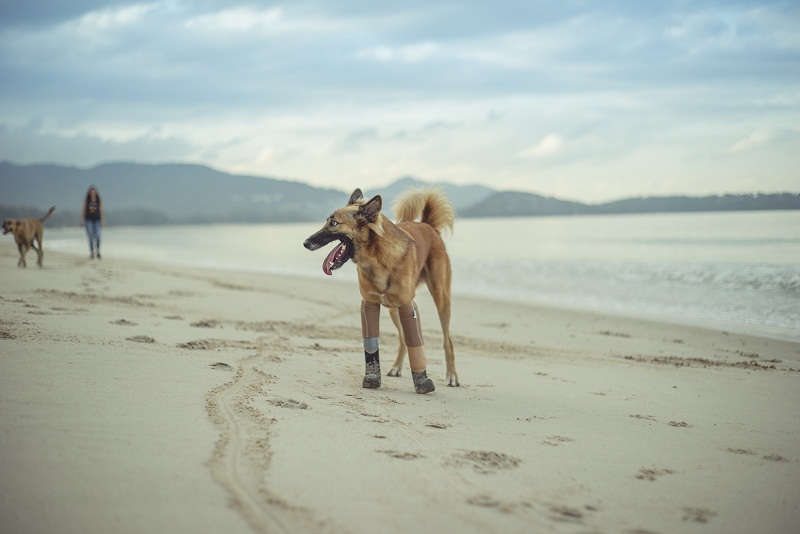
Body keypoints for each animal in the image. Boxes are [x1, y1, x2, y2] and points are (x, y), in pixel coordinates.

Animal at [304, 189, 460, 394]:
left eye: (334, 223)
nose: (305, 243)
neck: (376, 257)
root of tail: (428, 226)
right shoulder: (370, 302)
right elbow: (372, 343)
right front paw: (373, 377)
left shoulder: (407, 303)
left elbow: (417, 341)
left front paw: (422, 381)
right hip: (394, 309)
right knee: (403, 339)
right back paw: (396, 367)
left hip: (441, 298)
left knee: (447, 340)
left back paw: (452, 376)